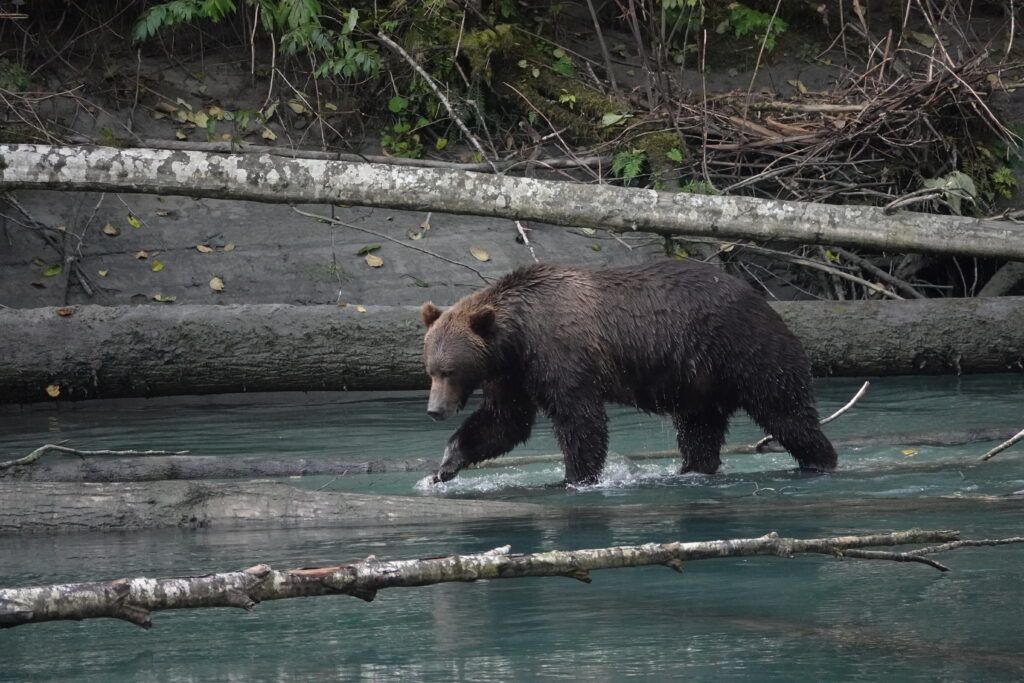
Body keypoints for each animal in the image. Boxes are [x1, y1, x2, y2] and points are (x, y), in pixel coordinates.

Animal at [419, 259, 835, 489]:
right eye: (430, 371)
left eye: (450, 370)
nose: (435, 411)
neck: (517, 336)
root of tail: (762, 300)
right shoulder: (512, 373)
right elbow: (505, 421)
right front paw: (445, 465)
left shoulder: (560, 353)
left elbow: (580, 419)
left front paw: (574, 478)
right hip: (699, 379)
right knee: (699, 428)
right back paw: (692, 469)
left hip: (743, 348)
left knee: (784, 409)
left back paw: (821, 460)